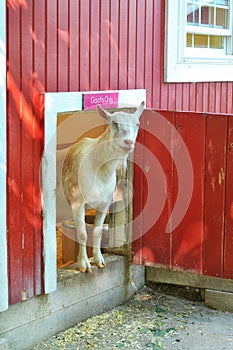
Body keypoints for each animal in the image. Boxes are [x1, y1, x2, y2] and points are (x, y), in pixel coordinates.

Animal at [56, 102, 144, 272]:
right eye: (114, 123)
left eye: (137, 124)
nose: (128, 142)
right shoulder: (77, 203)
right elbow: (83, 234)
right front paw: (84, 264)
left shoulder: (105, 203)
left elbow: (97, 232)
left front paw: (99, 260)